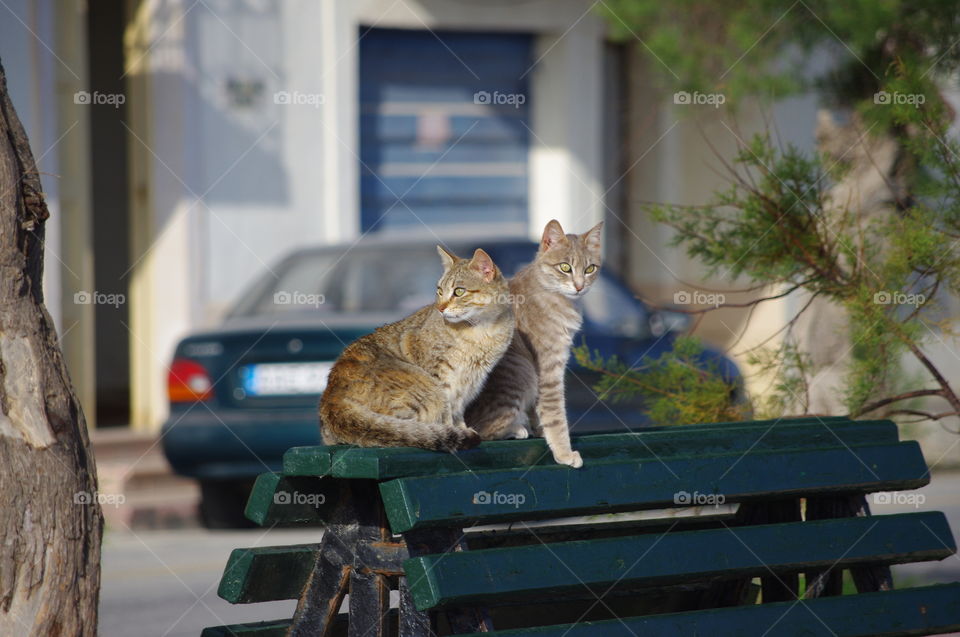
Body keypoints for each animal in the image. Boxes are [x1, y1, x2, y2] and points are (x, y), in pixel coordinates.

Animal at [320, 246, 516, 450]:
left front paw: (461, 427)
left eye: (459, 291)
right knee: (400, 428)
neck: (481, 330)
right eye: (440, 291)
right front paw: (454, 430)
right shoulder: (442, 377)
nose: (440, 308)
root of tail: (330, 400)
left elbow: (457, 411)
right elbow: (448, 412)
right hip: (427, 390)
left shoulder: (469, 380)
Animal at [464, 220, 600, 468]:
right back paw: (516, 428)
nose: (579, 286)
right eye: (565, 267)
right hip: (522, 369)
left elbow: (541, 411)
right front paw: (564, 453)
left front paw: (541, 431)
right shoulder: (548, 369)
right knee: (482, 431)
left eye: (590, 269)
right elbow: (555, 414)